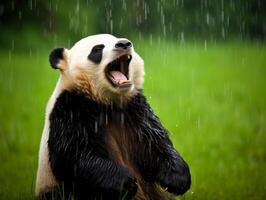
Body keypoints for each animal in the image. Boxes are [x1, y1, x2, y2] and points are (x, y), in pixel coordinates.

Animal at [34, 33, 191, 199]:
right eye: (97, 49)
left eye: (120, 39)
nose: (123, 44)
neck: (107, 101)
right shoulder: (69, 108)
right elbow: (74, 155)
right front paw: (125, 183)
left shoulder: (134, 107)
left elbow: (154, 142)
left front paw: (177, 177)